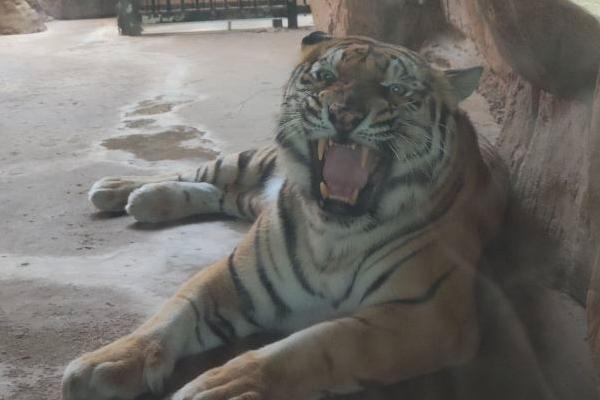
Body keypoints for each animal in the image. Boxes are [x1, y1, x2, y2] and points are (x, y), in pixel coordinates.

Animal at [63, 32, 508, 400]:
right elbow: (174, 312)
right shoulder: (235, 275)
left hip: (249, 195)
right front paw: (106, 362)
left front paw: (219, 387)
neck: (334, 235)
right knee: (205, 173)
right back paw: (120, 190)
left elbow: (313, 346)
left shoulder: (427, 314)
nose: (344, 115)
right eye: (326, 76)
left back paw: (144, 201)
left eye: (395, 89)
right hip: (251, 159)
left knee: (223, 193)